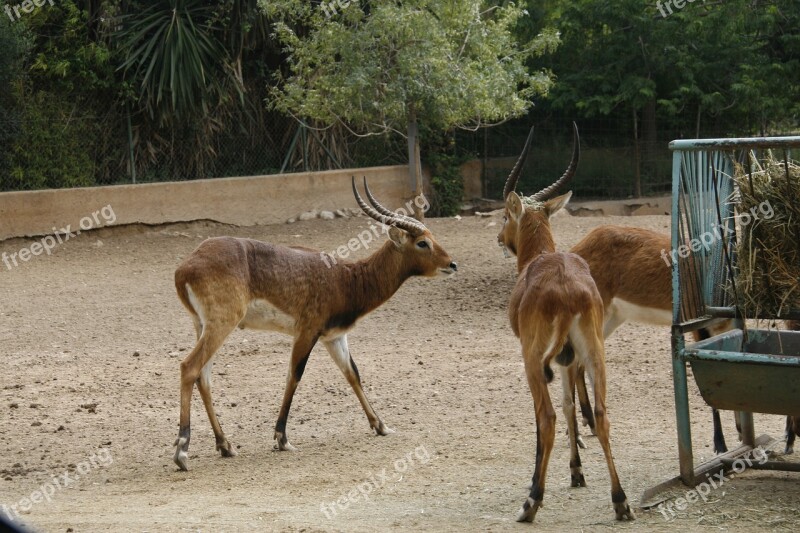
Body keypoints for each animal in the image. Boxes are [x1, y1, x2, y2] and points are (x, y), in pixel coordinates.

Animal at [170, 179, 456, 470]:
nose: (452, 264)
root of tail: (185, 268)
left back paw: (225, 445)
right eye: (422, 242)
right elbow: (294, 375)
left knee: (203, 377)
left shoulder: (334, 337)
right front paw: (282, 438)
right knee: (189, 367)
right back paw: (182, 452)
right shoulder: (307, 333)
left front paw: (381, 425)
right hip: (221, 325)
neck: (347, 279)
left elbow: (352, 373)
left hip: (202, 326)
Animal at [496, 125, 636, 524]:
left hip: (534, 360)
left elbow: (546, 416)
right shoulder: (568, 359)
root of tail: (568, 289)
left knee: (547, 418)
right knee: (601, 415)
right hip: (594, 354)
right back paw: (620, 502)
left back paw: (531, 503)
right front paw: (576, 472)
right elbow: (572, 405)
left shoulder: (537, 358)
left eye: (506, 216)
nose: (499, 238)